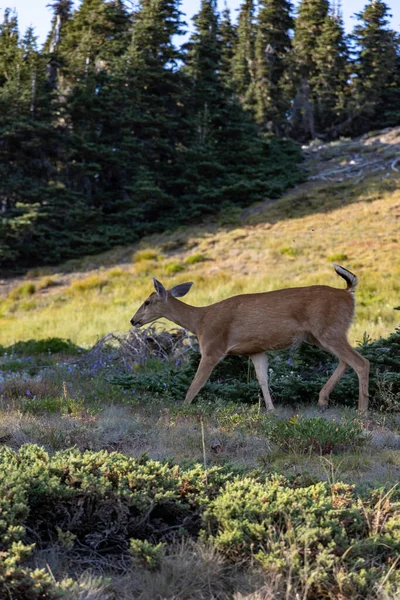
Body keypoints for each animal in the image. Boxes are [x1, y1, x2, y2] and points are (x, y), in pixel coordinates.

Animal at [130, 266, 368, 412]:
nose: (133, 320)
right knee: (346, 360)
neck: (200, 321)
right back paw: (322, 399)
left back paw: (361, 410)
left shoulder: (213, 347)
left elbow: (196, 383)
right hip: (318, 336)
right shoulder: (256, 350)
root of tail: (348, 293)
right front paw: (271, 410)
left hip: (329, 330)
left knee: (361, 362)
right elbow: (263, 380)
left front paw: (181, 408)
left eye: (147, 302)